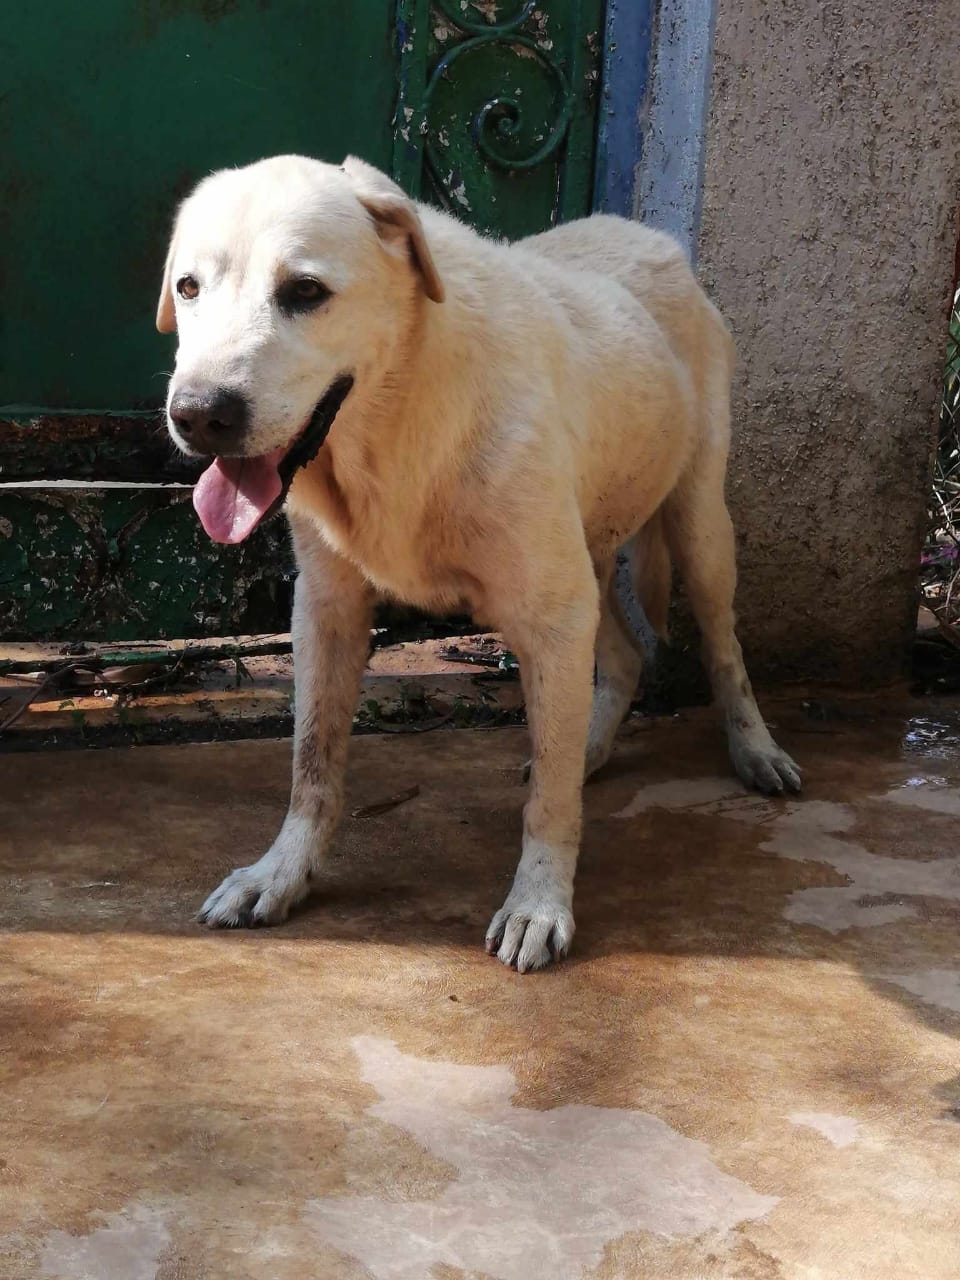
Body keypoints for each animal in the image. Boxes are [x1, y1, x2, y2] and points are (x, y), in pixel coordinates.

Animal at [160, 154, 803, 967]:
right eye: (189, 288)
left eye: (304, 292)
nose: (198, 415)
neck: (398, 418)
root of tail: (651, 237)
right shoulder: (328, 609)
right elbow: (313, 763)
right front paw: (283, 872)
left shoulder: (551, 616)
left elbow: (549, 804)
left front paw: (539, 902)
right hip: (585, 554)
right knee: (622, 659)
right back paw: (591, 746)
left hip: (698, 528)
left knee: (722, 649)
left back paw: (754, 750)